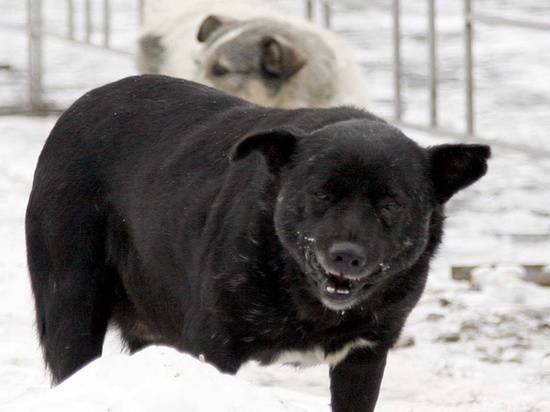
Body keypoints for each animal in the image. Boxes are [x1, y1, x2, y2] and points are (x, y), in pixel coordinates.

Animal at [25, 75, 492, 410]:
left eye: (391, 204)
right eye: (321, 193)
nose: (346, 256)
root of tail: (78, 107)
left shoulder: (365, 357)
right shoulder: (214, 344)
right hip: (71, 306)